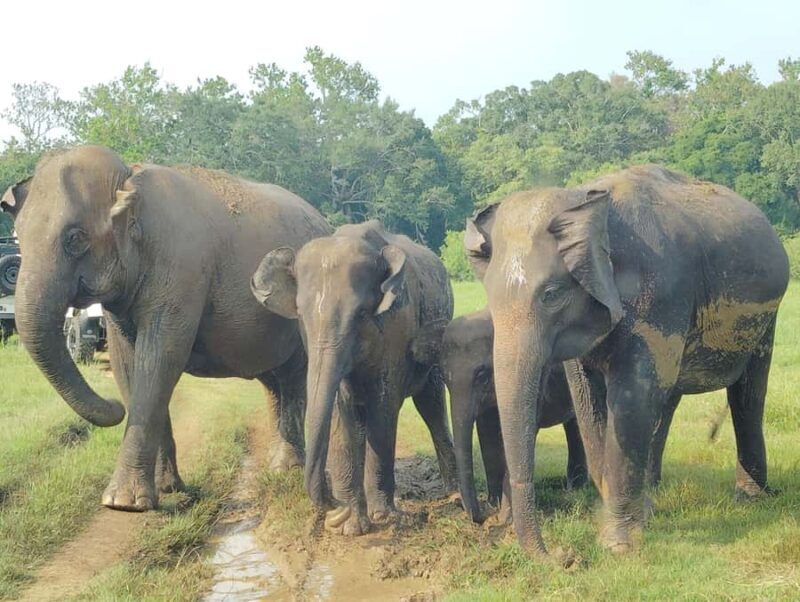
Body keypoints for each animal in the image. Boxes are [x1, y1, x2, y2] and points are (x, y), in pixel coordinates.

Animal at [1, 145, 332, 511]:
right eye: (19, 238)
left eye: (75, 238)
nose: (114, 408)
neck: (129, 177)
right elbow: (127, 364)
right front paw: (166, 488)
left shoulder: (180, 269)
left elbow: (160, 358)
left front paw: (124, 502)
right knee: (274, 380)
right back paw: (277, 467)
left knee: (293, 376)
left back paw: (288, 469)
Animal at [252, 220, 458, 535]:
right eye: (300, 314)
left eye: (361, 314)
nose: (332, 507)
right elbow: (341, 410)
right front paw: (349, 527)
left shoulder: (397, 326)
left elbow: (383, 407)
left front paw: (383, 517)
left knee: (431, 404)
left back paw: (454, 492)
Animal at [441, 307, 587, 524]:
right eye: (443, 377)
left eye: (481, 374)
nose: (479, 517)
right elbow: (488, 435)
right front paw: (493, 504)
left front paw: (504, 517)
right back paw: (575, 488)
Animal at [465, 165, 789, 554]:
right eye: (490, 297)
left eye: (551, 294)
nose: (562, 555)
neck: (584, 200)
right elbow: (588, 403)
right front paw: (630, 523)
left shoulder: (660, 293)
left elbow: (631, 399)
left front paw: (617, 546)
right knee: (668, 397)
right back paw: (653, 498)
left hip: (766, 316)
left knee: (747, 395)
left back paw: (749, 497)